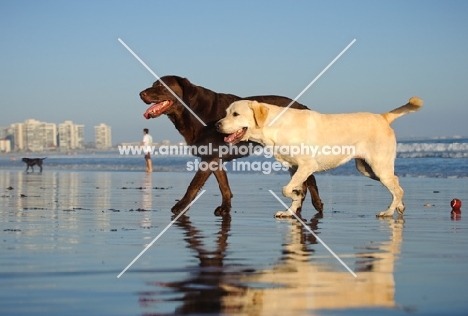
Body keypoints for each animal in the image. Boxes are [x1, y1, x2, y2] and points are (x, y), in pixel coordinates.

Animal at [138, 75, 322, 216]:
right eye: (153, 85)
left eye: (160, 86)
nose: (140, 93)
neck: (191, 110)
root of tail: (303, 106)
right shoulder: (214, 158)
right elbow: (224, 186)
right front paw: (225, 208)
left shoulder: (208, 158)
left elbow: (193, 185)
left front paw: (181, 206)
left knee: (310, 180)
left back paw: (315, 204)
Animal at [216, 97, 424, 217]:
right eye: (225, 113)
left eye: (235, 114)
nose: (217, 125)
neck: (274, 127)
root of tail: (382, 117)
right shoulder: (293, 168)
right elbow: (294, 190)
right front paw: (290, 211)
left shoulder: (307, 166)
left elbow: (287, 189)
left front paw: (295, 196)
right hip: (367, 169)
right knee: (397, 183)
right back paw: (398, 207)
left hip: (378, 166)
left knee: (397, 187)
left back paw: (388, 212)